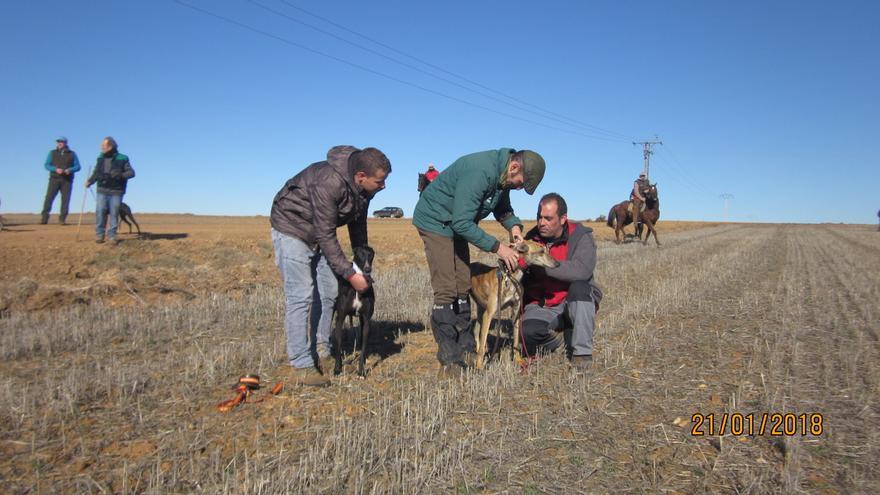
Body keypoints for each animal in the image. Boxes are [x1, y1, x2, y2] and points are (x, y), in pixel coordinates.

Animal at [328, 246, 372, 378]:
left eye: (371, 254)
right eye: (360, 254)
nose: (368, 269)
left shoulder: (366, 320)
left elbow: (363, 348)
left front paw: (361, 371)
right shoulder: (340, 318)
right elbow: (338, 345)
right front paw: (337, 369)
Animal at [470, 240, 560, 368]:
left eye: (547, 250)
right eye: (541, 251)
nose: (558, 264)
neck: (510, 277)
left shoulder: (516, 312)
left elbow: (516, 340)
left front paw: (519, 361)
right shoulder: (489, 314)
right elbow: (483, 344)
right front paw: (479, 366)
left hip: (480, 309)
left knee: (476, 330)